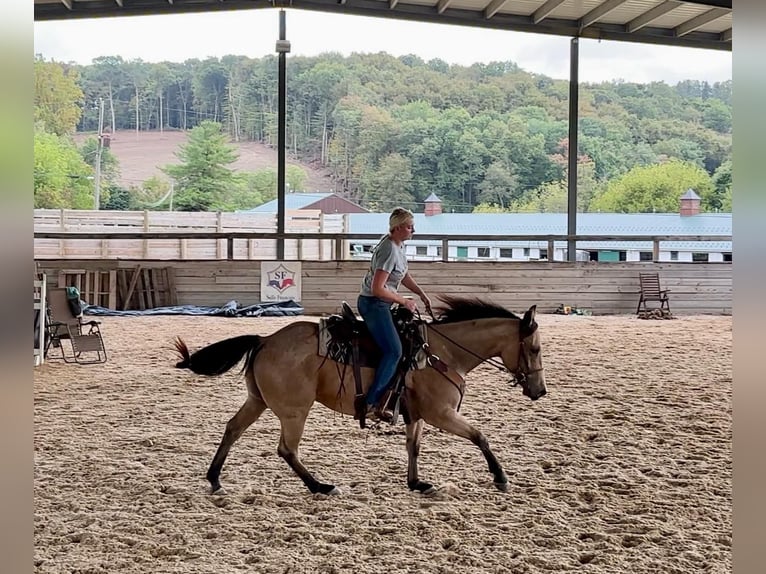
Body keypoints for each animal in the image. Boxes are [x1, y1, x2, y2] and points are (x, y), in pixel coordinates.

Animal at [174, 296, 544, 496]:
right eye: (535, 348)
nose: (540, 391)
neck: (442, 352)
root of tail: (264, 339)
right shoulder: (441, 413)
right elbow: (480, 436)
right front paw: (501, 478)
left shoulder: (417, 414)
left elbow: (413, 446)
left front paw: (416, 483)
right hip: (295, 411)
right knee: (286, 449)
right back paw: (320, 486)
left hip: (258, 401)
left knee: (233, 428)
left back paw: (215, 478)